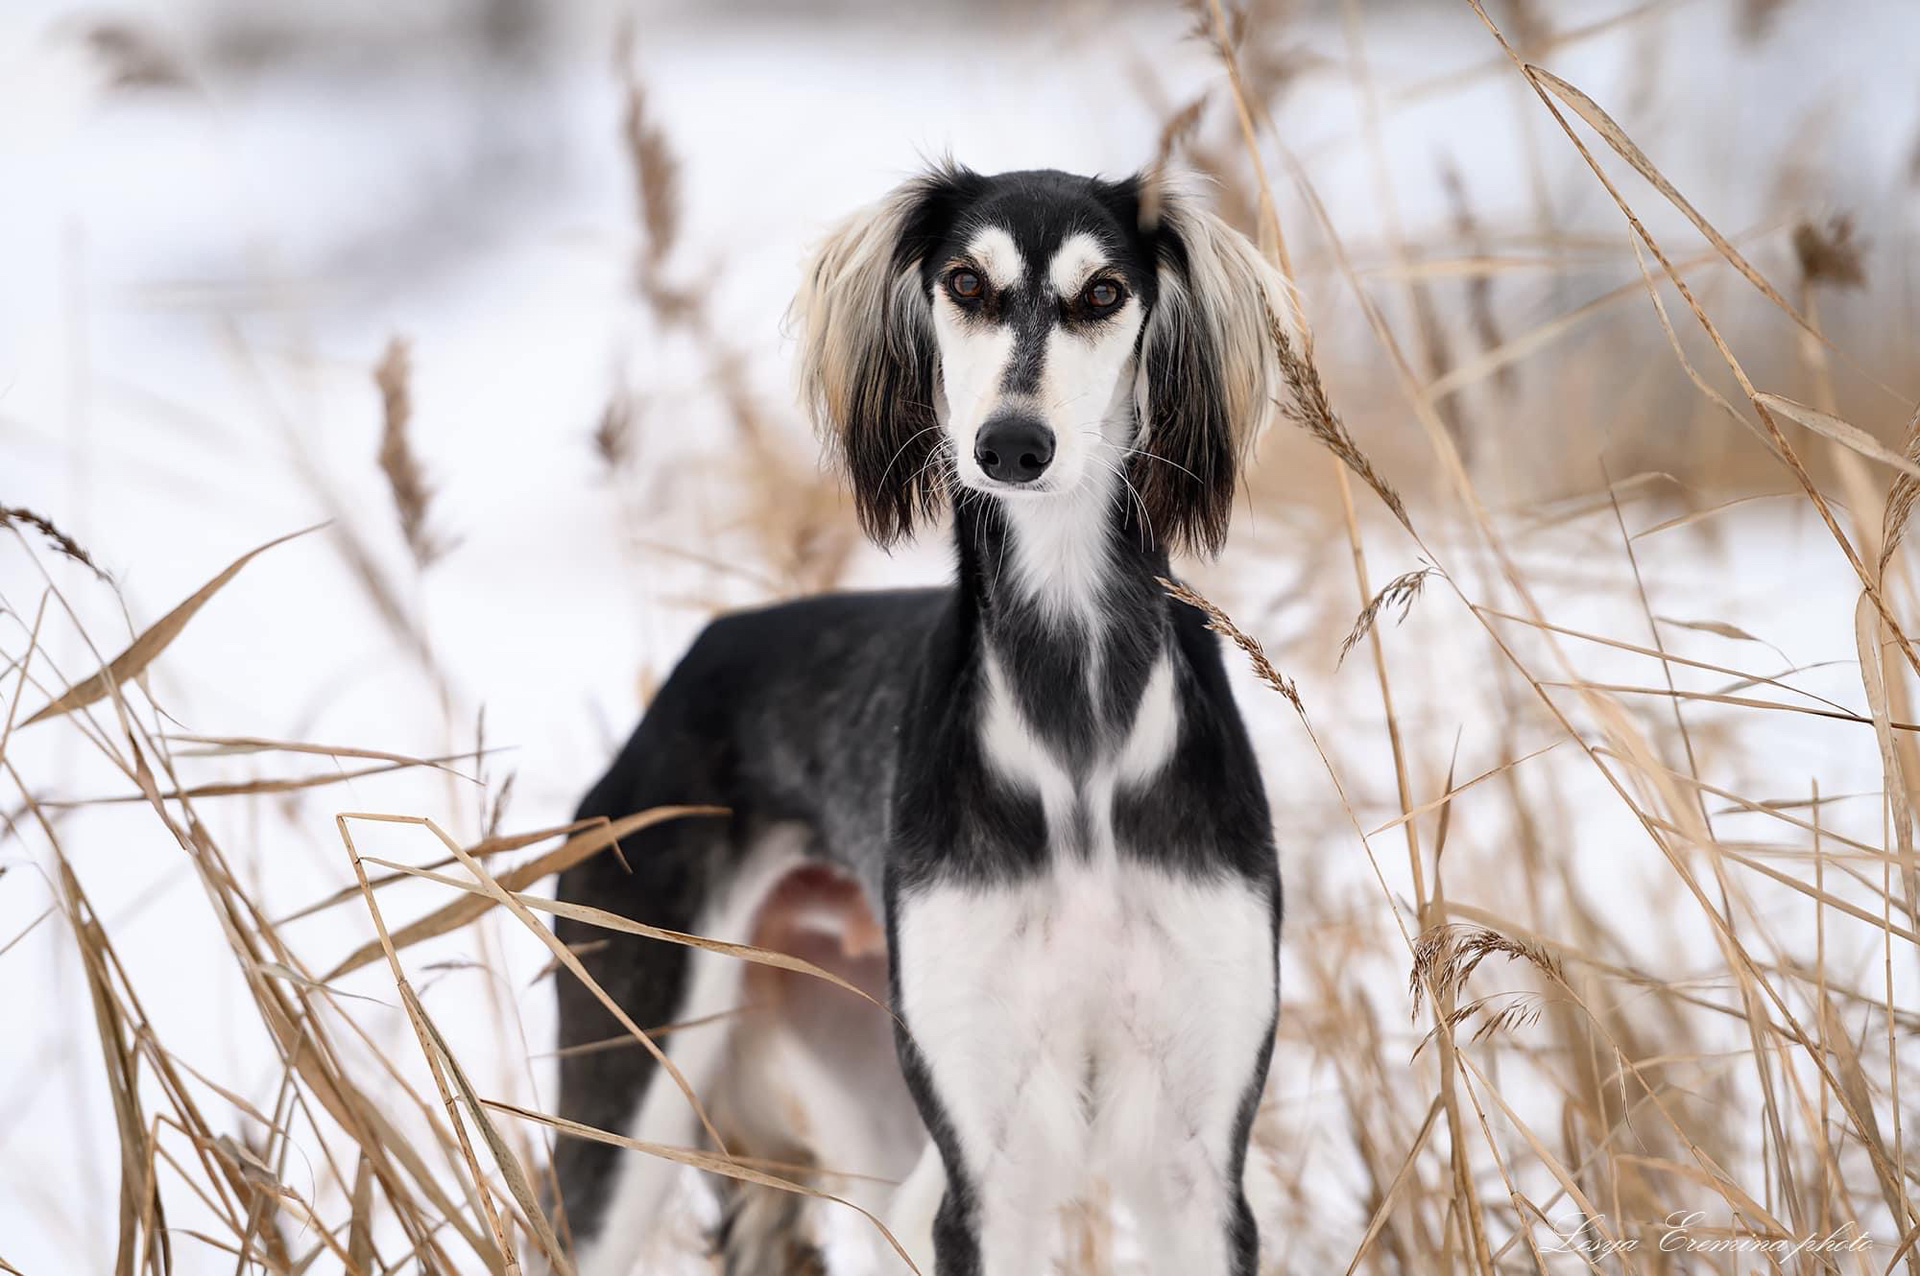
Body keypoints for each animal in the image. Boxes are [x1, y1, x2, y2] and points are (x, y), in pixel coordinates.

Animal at [552, 164, 1290, 1266]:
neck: (1074, 715)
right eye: (965, 283)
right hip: (629, 1094)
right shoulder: (989, 1168)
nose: (1013, 444)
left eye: (1105, 292)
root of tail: (702, 655)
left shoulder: (1194, 1162)